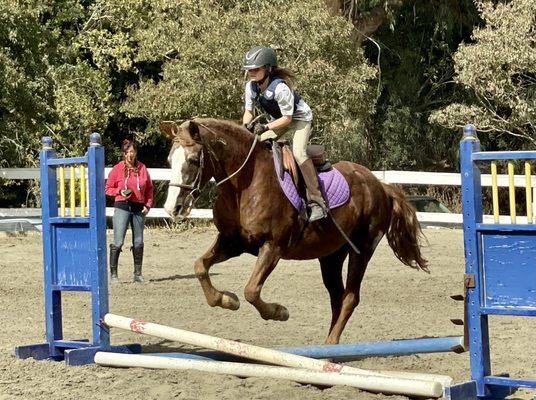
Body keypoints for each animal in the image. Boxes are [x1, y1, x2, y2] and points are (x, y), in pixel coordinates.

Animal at [159, 118, 428, 344]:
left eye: (193, 160)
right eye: (169, 161)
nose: (172, 208)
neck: (246, 183)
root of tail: (380, 185)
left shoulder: (273, 247)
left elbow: (251, 291)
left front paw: (279, 312)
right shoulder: (232, 242)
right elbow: (200, 267)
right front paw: (227, 300)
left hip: (362, 250)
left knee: (350, 297)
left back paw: (331, 347)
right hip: (331, 255)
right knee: (337, 297)